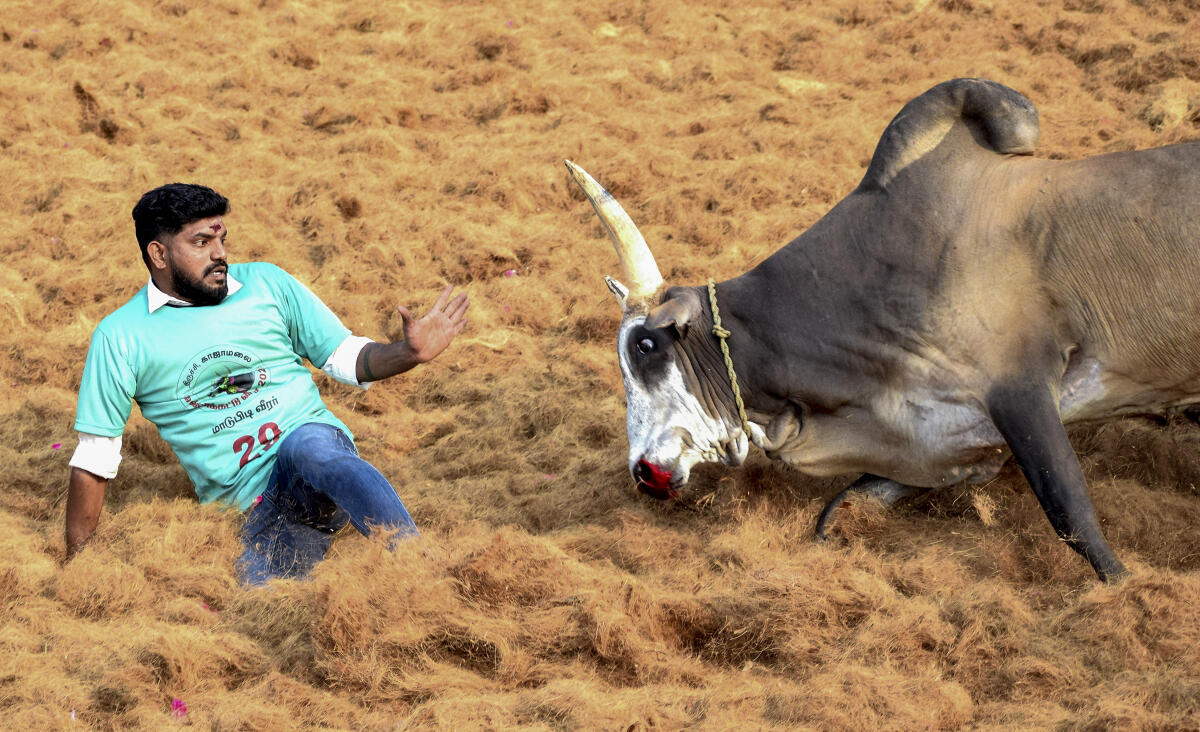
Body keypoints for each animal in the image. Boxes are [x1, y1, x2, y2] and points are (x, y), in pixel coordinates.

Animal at [566, 78, 1200, 583]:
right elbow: (844, 507)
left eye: (646, 345)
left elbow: (1074, 516)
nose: (642, 473)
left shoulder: (1021, 389)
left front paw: (1126, 592)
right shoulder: (957, 438)